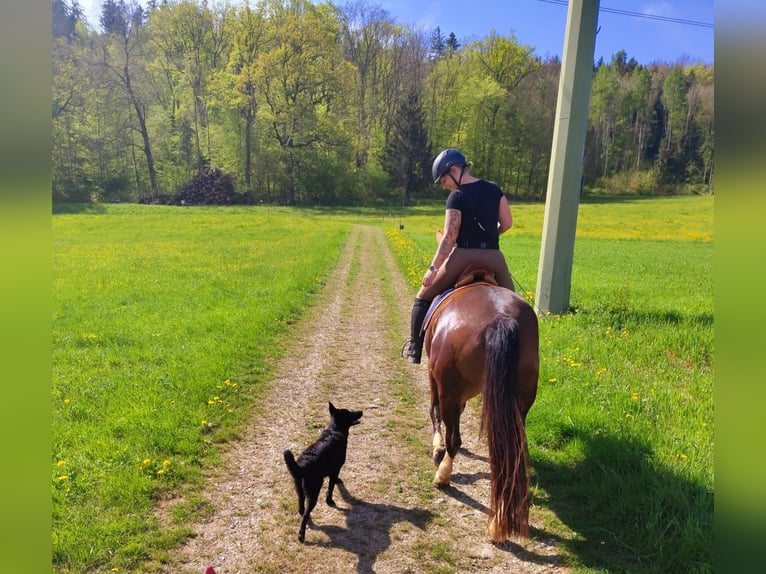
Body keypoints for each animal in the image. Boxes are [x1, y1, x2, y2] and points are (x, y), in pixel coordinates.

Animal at [284, 402, 364, 544]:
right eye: (349, 413)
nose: (361, 411)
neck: (335, 430)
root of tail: (303, 465)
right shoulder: (335, 469)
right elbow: (331, 488)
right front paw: (330, 500)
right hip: (313, 493)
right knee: (305, 514)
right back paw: (301, 535)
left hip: (299, 489)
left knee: (301, 507)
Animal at [426, 274, 540, 544]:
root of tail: (501, 318)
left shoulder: (435, 380)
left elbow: (434, 413)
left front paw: (437, 449)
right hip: (520, 400)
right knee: (510, 452)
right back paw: (498, 524)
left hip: (448, 389)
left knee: (454, 438)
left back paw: (443, 476)